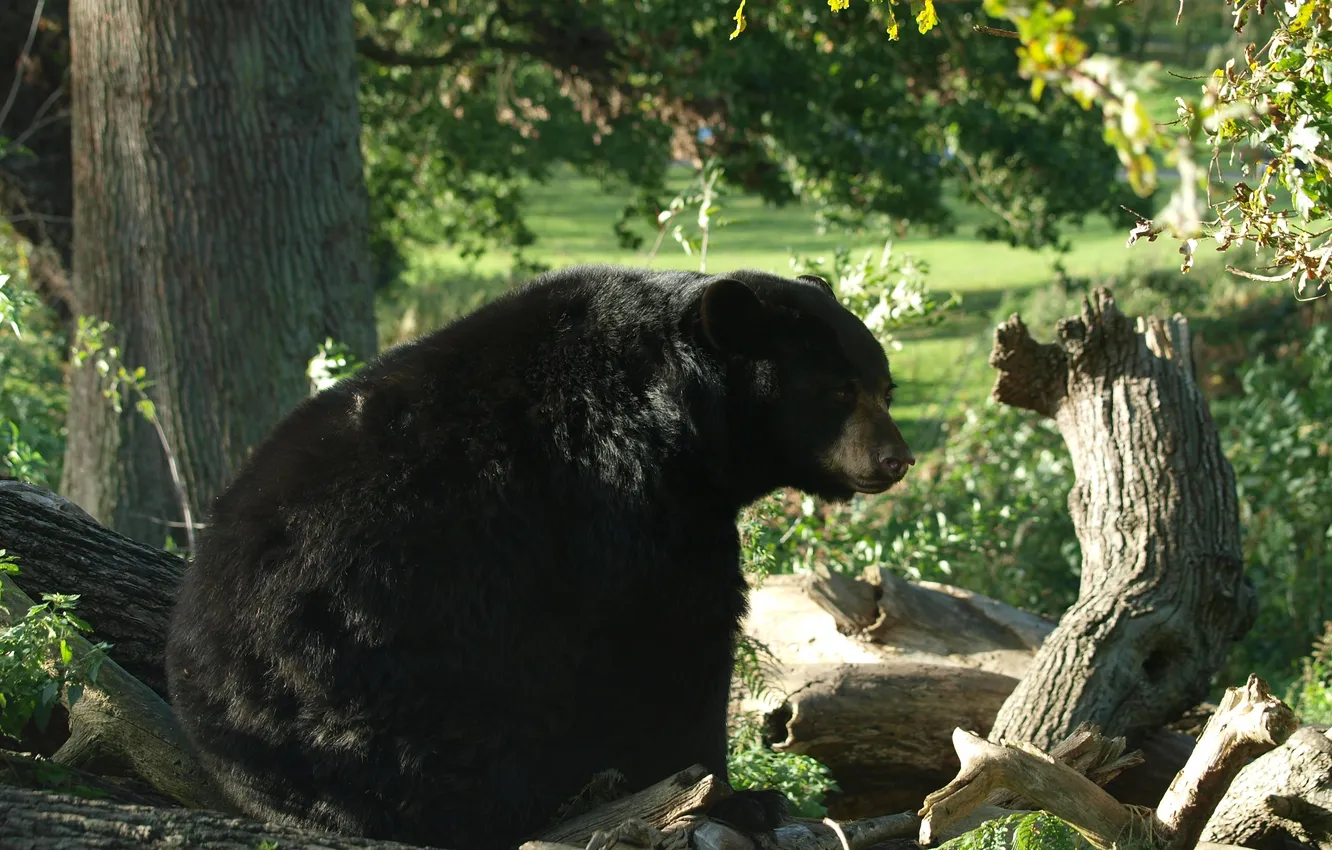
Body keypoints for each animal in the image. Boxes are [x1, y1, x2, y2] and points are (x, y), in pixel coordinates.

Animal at [163, 263, 916, 847]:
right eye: (838, 390)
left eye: (885, 387)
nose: (896, 459)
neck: (682, 413)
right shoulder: (626, 502)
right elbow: (672, 644)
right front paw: (740, 798)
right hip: (394, 685)